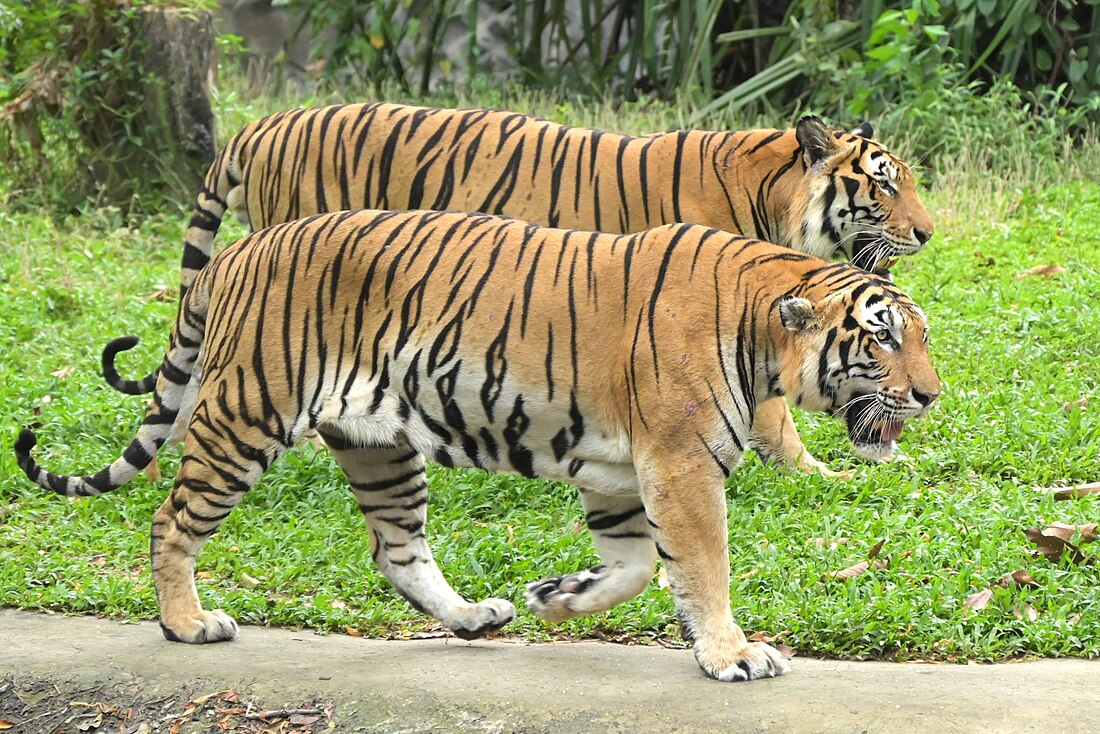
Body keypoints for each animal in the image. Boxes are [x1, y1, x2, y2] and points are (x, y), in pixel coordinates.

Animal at [15, 211, 946, 682]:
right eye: (883, 338)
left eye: (922, 339)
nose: (933, 395)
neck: (763, 326)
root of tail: (236, 253)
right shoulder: (679, 465)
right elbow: (704, 567)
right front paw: (733, 654)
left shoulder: (619, 472)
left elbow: (635, 566)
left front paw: (556, 599)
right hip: (247, 414)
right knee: (172, 519)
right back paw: (186, 623)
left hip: (379, 443)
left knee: (395, 551)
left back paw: (472, 617)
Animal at [103, 101, 937, 477]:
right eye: (886, 186)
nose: (930, 234)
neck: (772, 195)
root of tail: (263, 123)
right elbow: (773, 414)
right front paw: (817, 471)